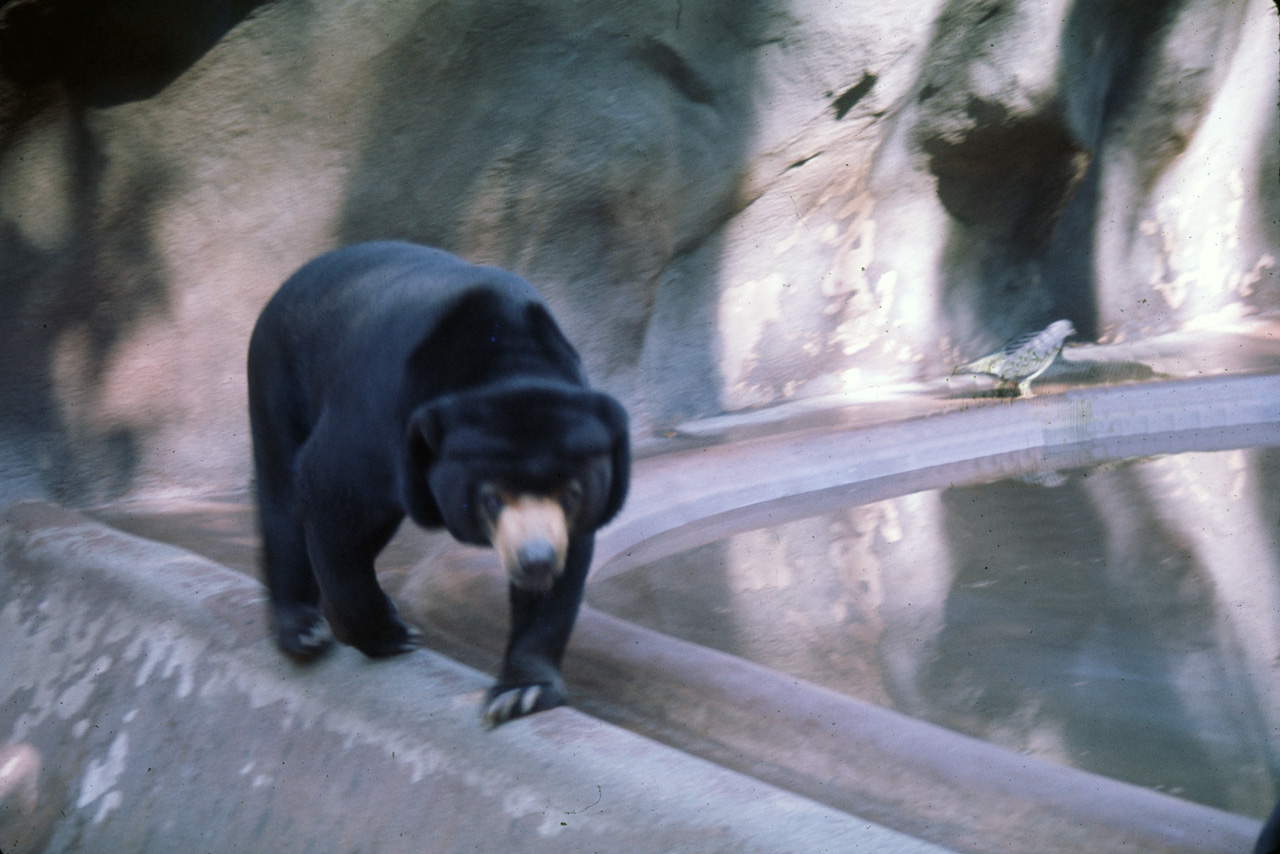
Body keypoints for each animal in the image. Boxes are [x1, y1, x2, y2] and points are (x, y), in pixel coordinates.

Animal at [244, 240, 629, 727]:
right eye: (491, 498)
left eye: (571, 495)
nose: (535, 561)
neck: (507, 359)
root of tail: (294, 278)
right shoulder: (381, 413)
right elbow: (329, 487)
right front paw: (388, 633)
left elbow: (569, 565)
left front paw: (521, 692)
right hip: (279, 369)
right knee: (281, 490)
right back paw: (303, 629)